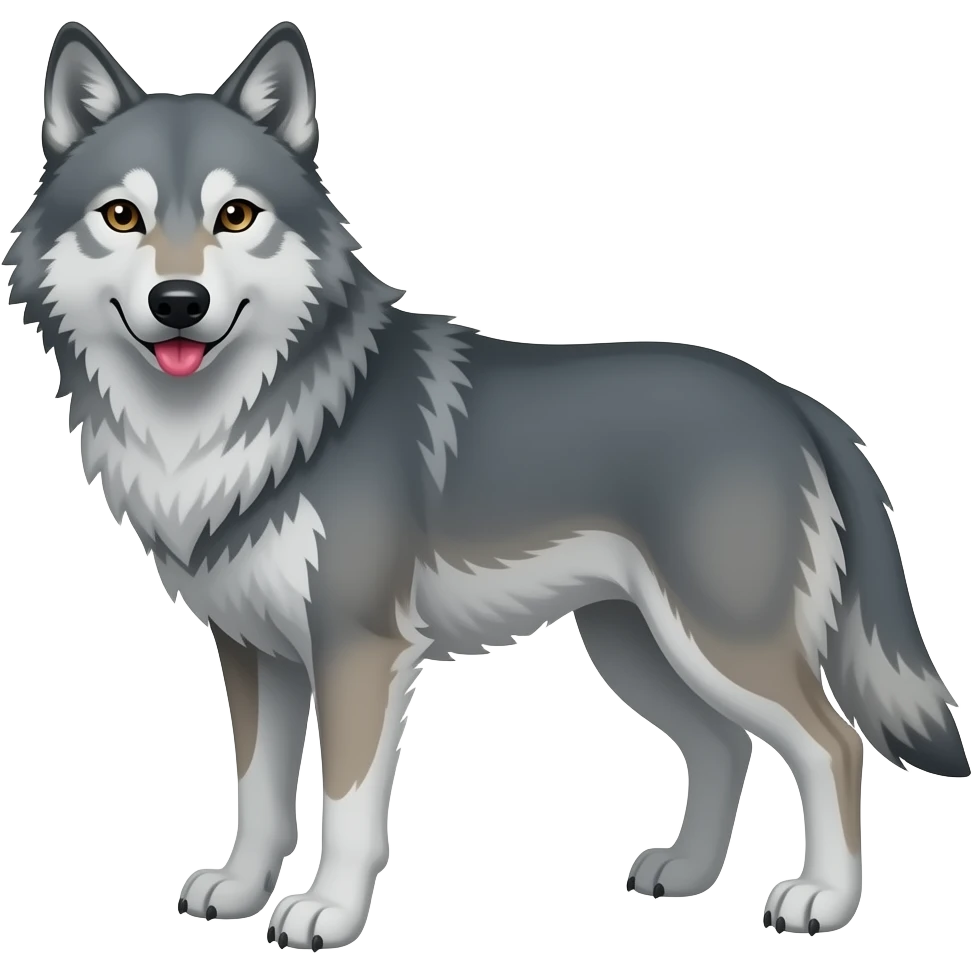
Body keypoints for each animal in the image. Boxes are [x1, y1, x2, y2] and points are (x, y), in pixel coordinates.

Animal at [4, 17, 968, 951]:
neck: (236, 425)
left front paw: (327, 913)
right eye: (122, 215)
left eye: (235, 215)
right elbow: (258, 796)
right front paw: (241, 892)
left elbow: (346, 808)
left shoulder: (358, 651)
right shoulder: (253, 654)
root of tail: (795, 402)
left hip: (718, 643)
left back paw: (822, 900)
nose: (179, 301)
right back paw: (687, 874)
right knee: (724, 746)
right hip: (635, 647)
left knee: (832, 746)